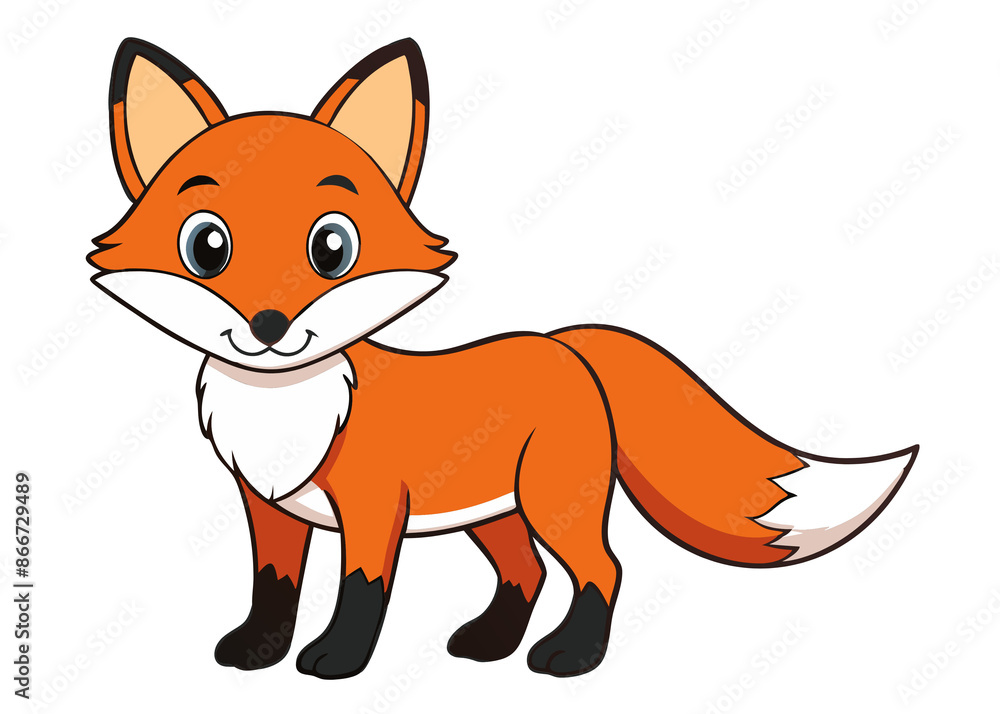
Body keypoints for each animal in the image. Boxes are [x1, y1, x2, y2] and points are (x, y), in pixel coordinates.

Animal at [89, 37, 918, 679]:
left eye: (332, 248)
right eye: (207, 246)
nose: (268, 324)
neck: (287, 409)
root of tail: (566, 343)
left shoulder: (372, 510)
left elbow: (361, 592)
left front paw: (336, 661)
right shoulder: (268, 508)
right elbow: (272, 588)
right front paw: (258, 650)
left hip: (554, 501)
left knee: (601, 568)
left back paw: (571, 657)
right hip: (497, 512)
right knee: (529, 572)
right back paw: (491, 643)